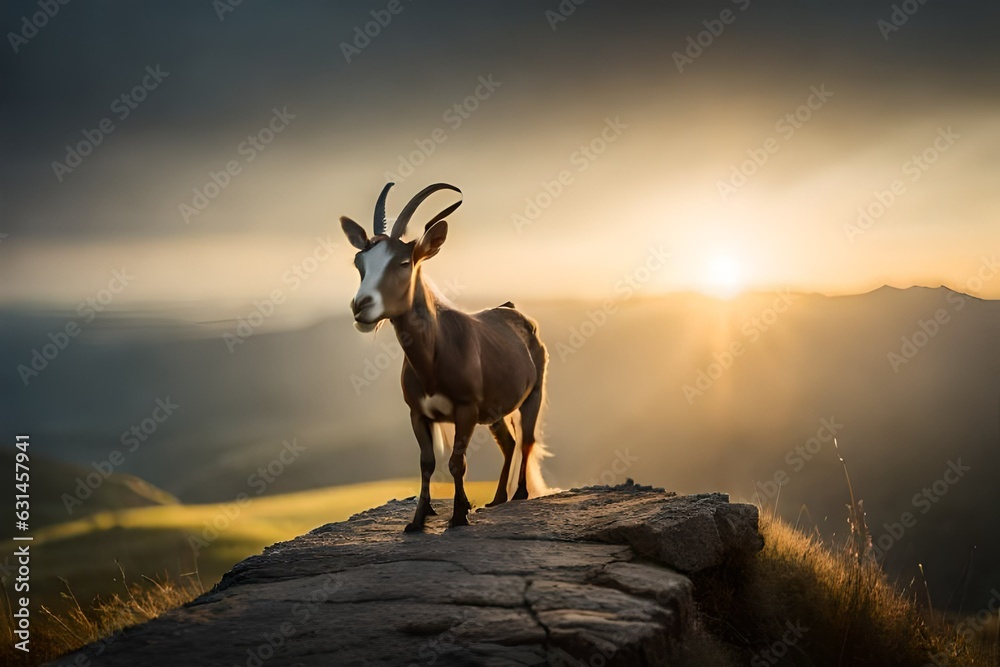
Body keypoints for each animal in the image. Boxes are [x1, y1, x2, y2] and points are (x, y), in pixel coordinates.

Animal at [340, 183, 550, 531]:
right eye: (360, 263)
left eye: (404, 263)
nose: (361, 306)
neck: (433, 356)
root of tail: (513, 310)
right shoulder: (418, 413)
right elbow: (427, 462)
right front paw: (418, 521)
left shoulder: (466, 410)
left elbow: (456, 463)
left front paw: (459, 516)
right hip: (494, 411)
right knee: (508, 442)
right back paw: (497, 498)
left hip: (534, 392)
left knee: (527, 439)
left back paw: (519, 494)